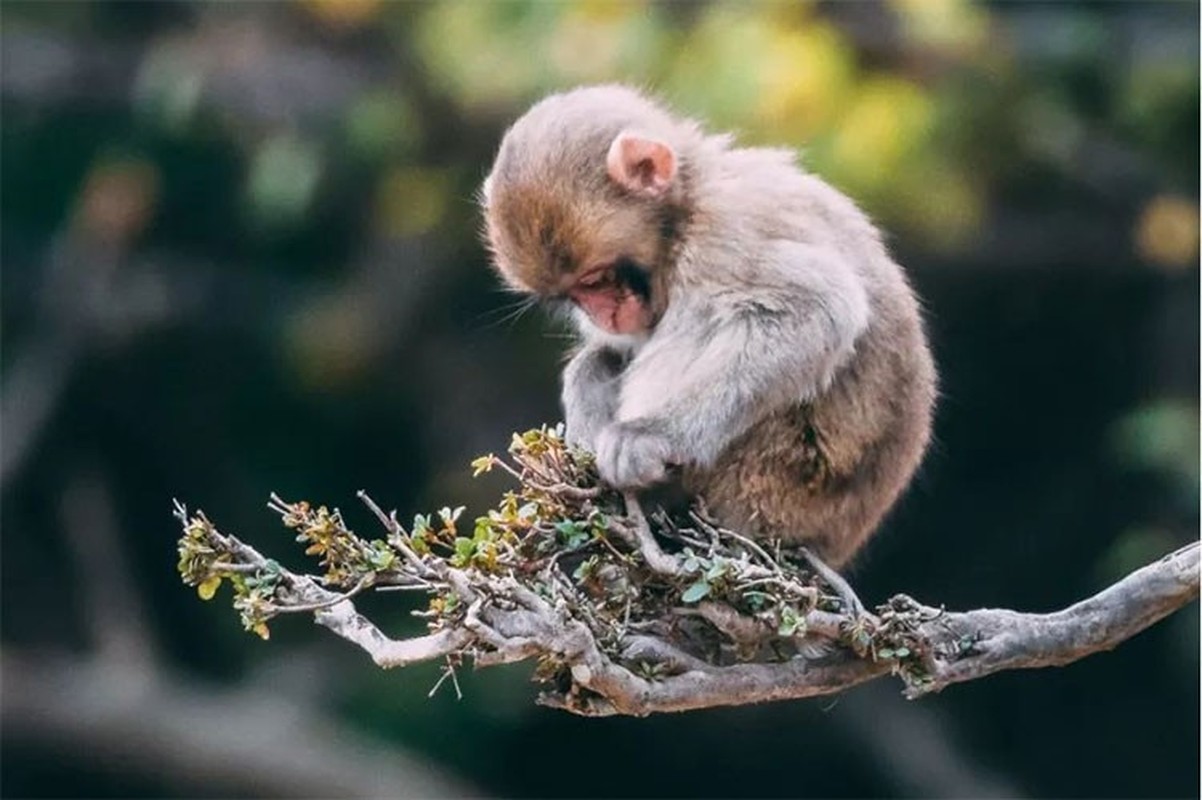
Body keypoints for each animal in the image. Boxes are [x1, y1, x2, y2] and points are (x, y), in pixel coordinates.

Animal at [478, 84, 937, 564]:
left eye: (595, 279)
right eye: (573, 296)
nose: (602, 315)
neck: (687, 205)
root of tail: (829, 543)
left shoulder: (724, 236)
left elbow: (816, 310)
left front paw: (652, 435)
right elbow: (614, 350)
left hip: (772, 482)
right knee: (603, 356)